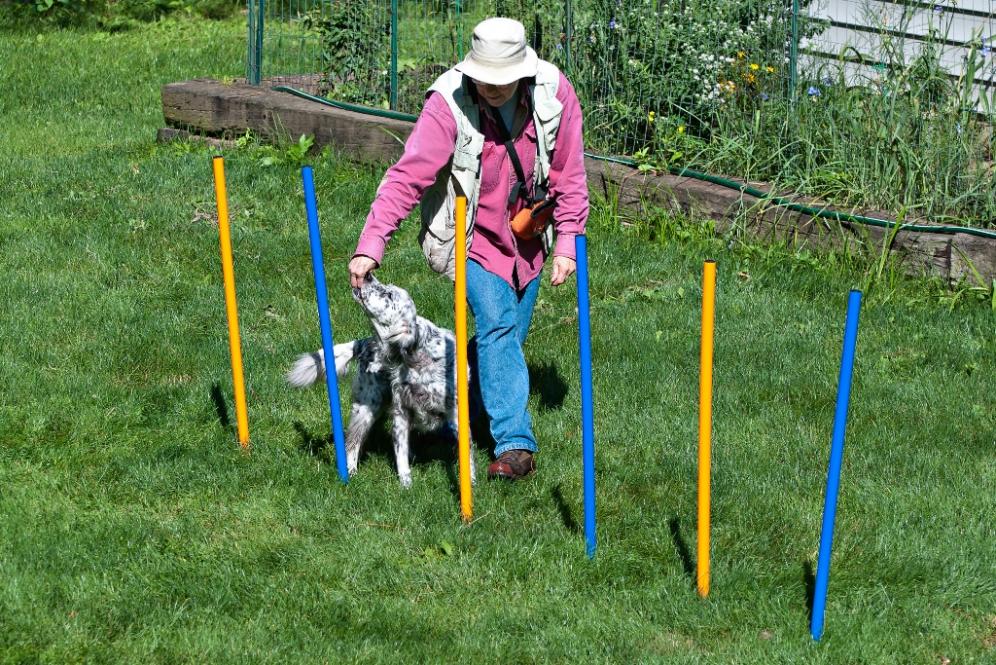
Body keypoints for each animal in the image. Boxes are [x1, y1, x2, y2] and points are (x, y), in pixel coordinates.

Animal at [288, 272, 474, 486]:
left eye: (389, 295)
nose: (367, 275)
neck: (417, 361)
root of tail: (368, 342)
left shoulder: (456, 415)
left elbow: (467, 454)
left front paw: (471, 481)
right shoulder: (401, 413)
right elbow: (400, 456)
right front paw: (406, 485)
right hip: (366, 407)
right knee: (352, 443)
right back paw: (349, 474)